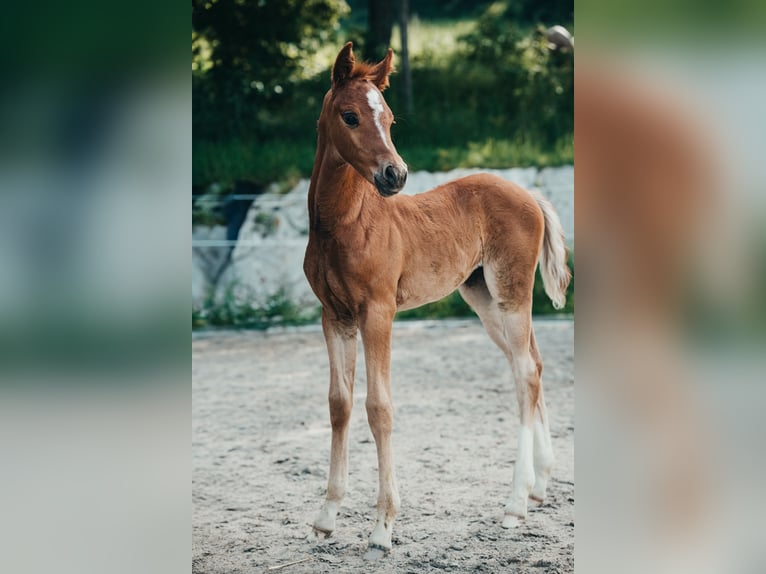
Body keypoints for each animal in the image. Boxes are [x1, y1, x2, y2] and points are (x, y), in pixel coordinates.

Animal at [303, 42, 571, 557]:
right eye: (350, 116)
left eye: (389, 119)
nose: (395, 174)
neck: (343, 224)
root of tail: (529, 194)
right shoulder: (334, 316)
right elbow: (339, 404)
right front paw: (326, 517)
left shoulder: (378, 313)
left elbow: (379, 408)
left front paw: (382, 527)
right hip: (484, 299)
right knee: (531, 364)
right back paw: (540, 485)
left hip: (511, 293)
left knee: (526, 372)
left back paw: (515, 505)